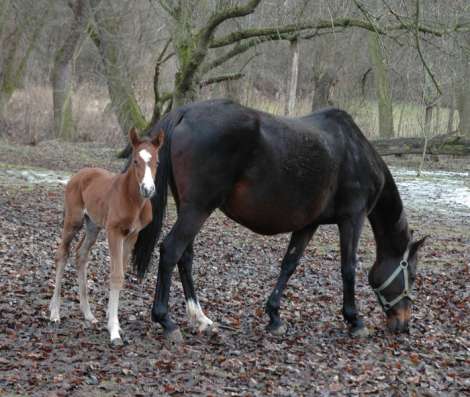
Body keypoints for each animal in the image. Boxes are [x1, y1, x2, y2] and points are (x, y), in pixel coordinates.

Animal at [49, 127, 163, 344]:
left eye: (157, 161)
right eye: (135, 160)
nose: (148, 189)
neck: (133, 200)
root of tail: (79, 174)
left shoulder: (132, 235)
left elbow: (122, 273)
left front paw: (112, 321)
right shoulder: (114, 231)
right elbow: (116, 275)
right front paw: (114, 330)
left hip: (92, 226)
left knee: (81, 255)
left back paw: (88, 314)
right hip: (73, 221)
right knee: (62, 254)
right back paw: (54, 312)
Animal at [131, 99, 426, 340]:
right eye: (411, 274)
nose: (404, 324)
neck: (356, 152)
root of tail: (185, 112)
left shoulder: (308, 224)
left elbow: (289, 265)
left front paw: (274, 316)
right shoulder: (352, 219)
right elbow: (348, 269)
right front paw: (355, 320)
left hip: (189, 207)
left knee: (185, 257)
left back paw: (200, 318)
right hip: (198, 208)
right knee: (171, 251)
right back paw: (166, 321)